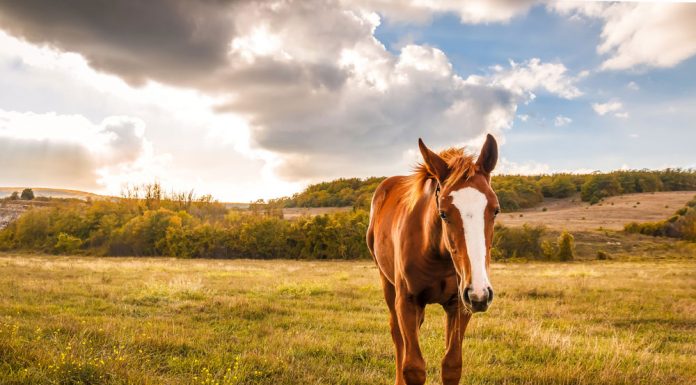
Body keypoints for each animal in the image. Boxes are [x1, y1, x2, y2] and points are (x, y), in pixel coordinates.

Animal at [364, 134, 500, 384]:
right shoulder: (407, 302)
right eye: (443, 213)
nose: (480, 293)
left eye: (495, 210)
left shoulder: (460, 304)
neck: (438, 254)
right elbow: (413, 367)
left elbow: (452, 365)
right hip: (387, 283)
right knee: (397, 335)